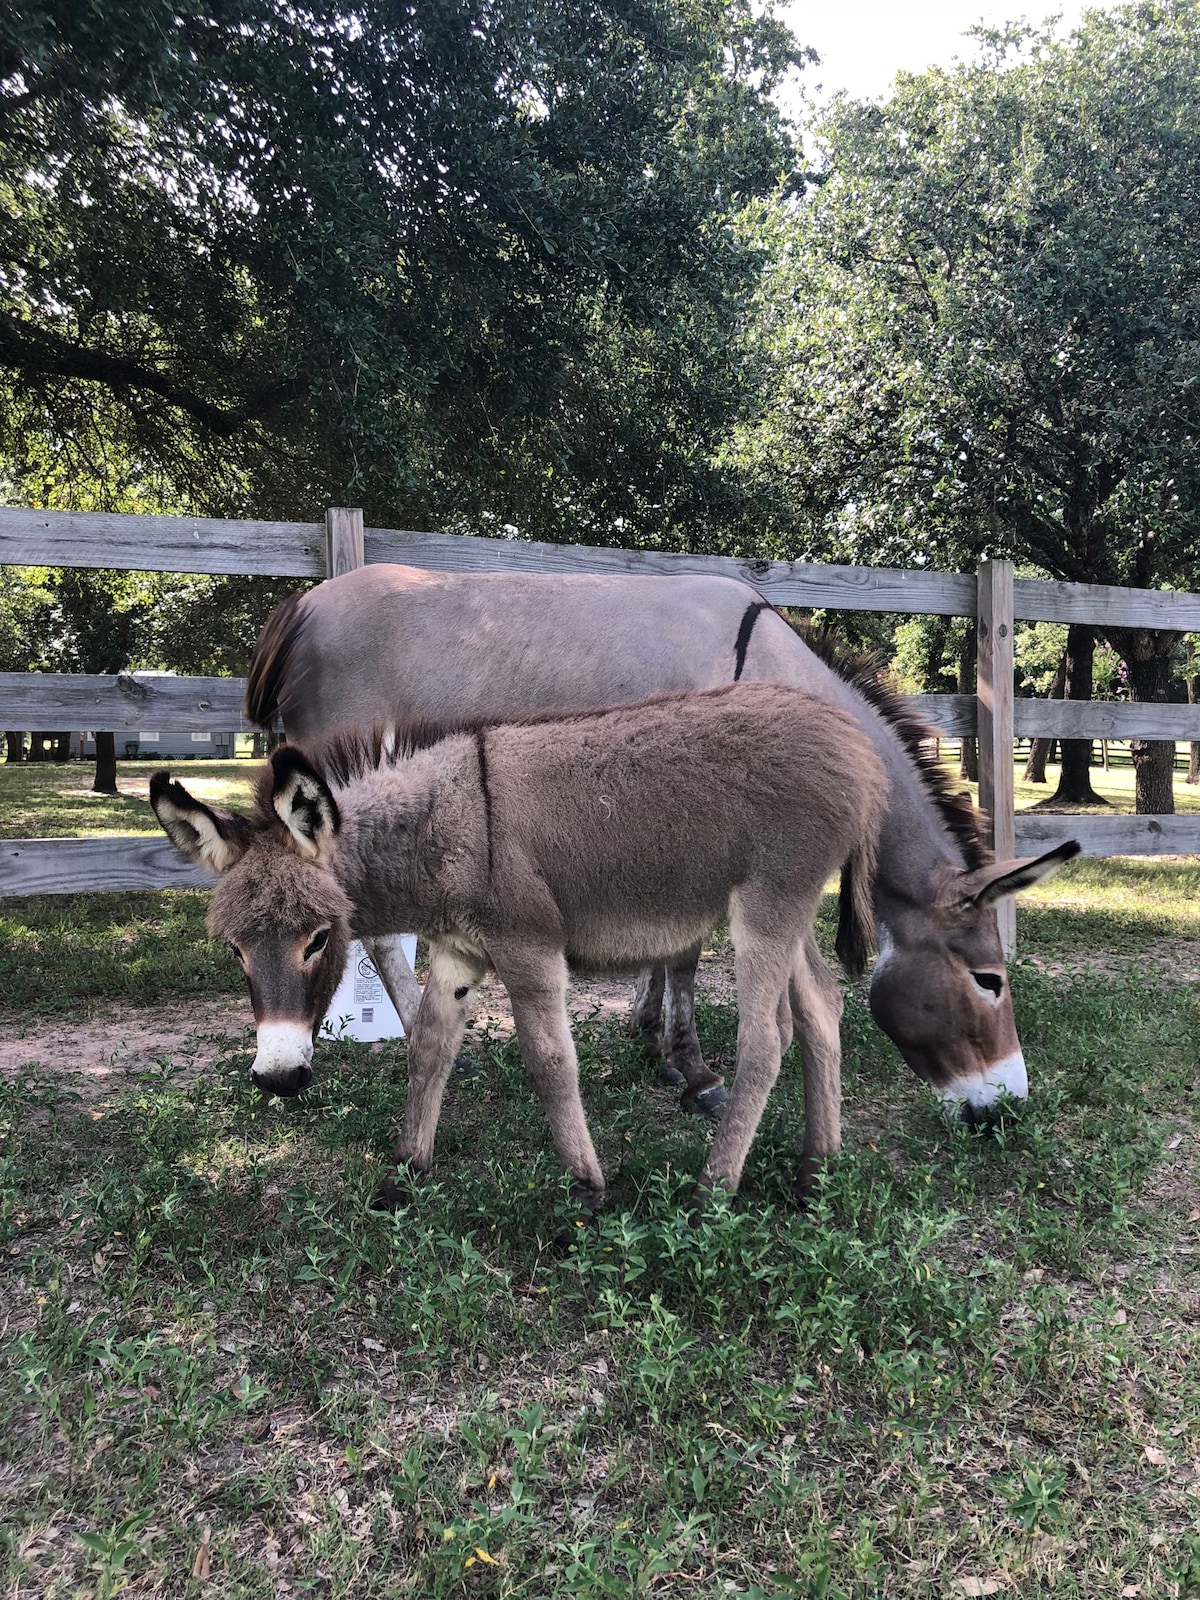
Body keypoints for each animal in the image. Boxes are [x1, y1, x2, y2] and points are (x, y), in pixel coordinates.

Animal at [152, 681, 883, 1203]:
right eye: (236, 951)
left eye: (318, 939)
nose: (279, 1079)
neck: (443, 822)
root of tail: (854, 742)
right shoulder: (457, 952)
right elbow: (428, 1049)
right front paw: (405, 1171)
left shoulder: (529, 949)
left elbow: (550, 1063)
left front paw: (587, 1189)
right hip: (789, 912)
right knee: (821, 1008)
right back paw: (818, 1170)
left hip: (766, 905)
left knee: (764, 1041)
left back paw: (713, 1191)